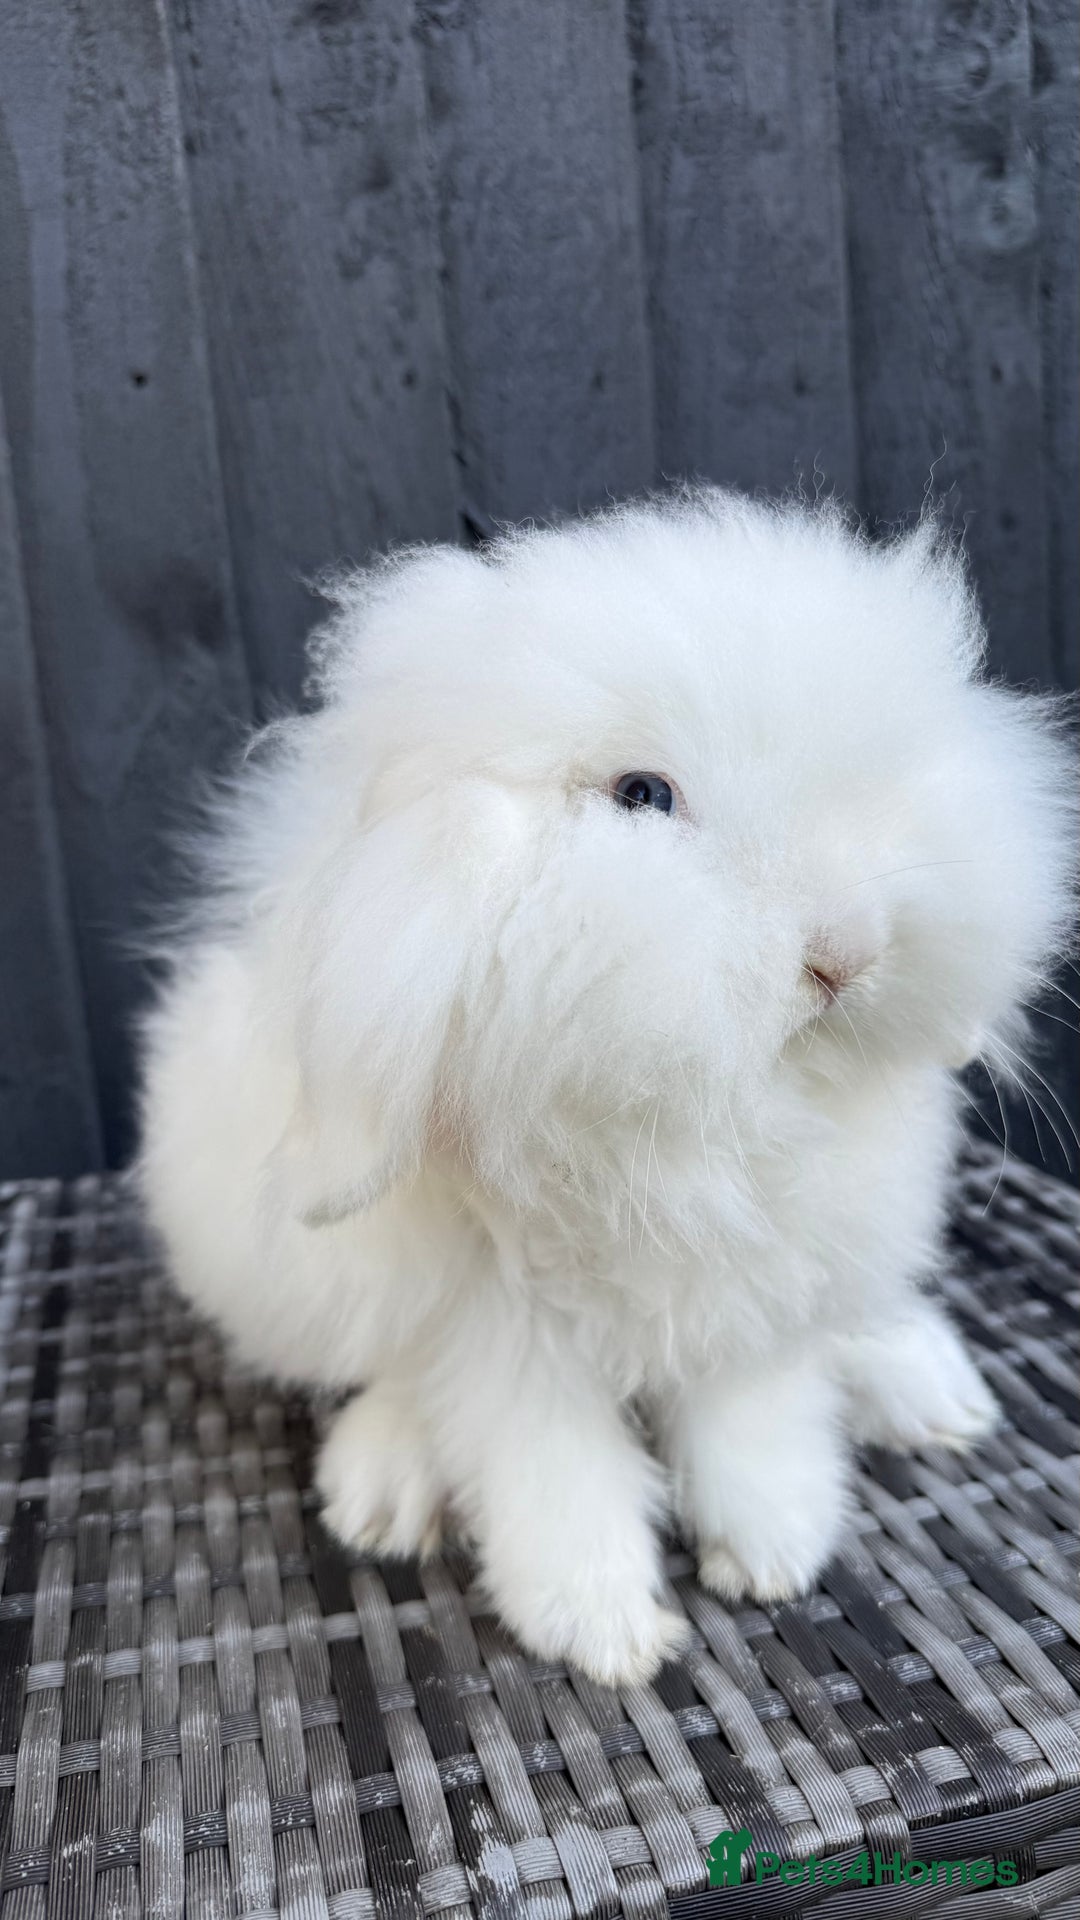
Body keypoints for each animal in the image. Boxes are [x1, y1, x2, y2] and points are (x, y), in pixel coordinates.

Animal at [137, 490, 1075, 1685]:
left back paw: (927, 1391)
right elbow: (551, 1472)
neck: (696, 1129)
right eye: (642, 795)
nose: (845, 955)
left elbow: (754, 1417)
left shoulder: (761, 1289)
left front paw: (773, 1550)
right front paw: (604, 1631)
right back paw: (383, 1494)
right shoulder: (506, 1332)